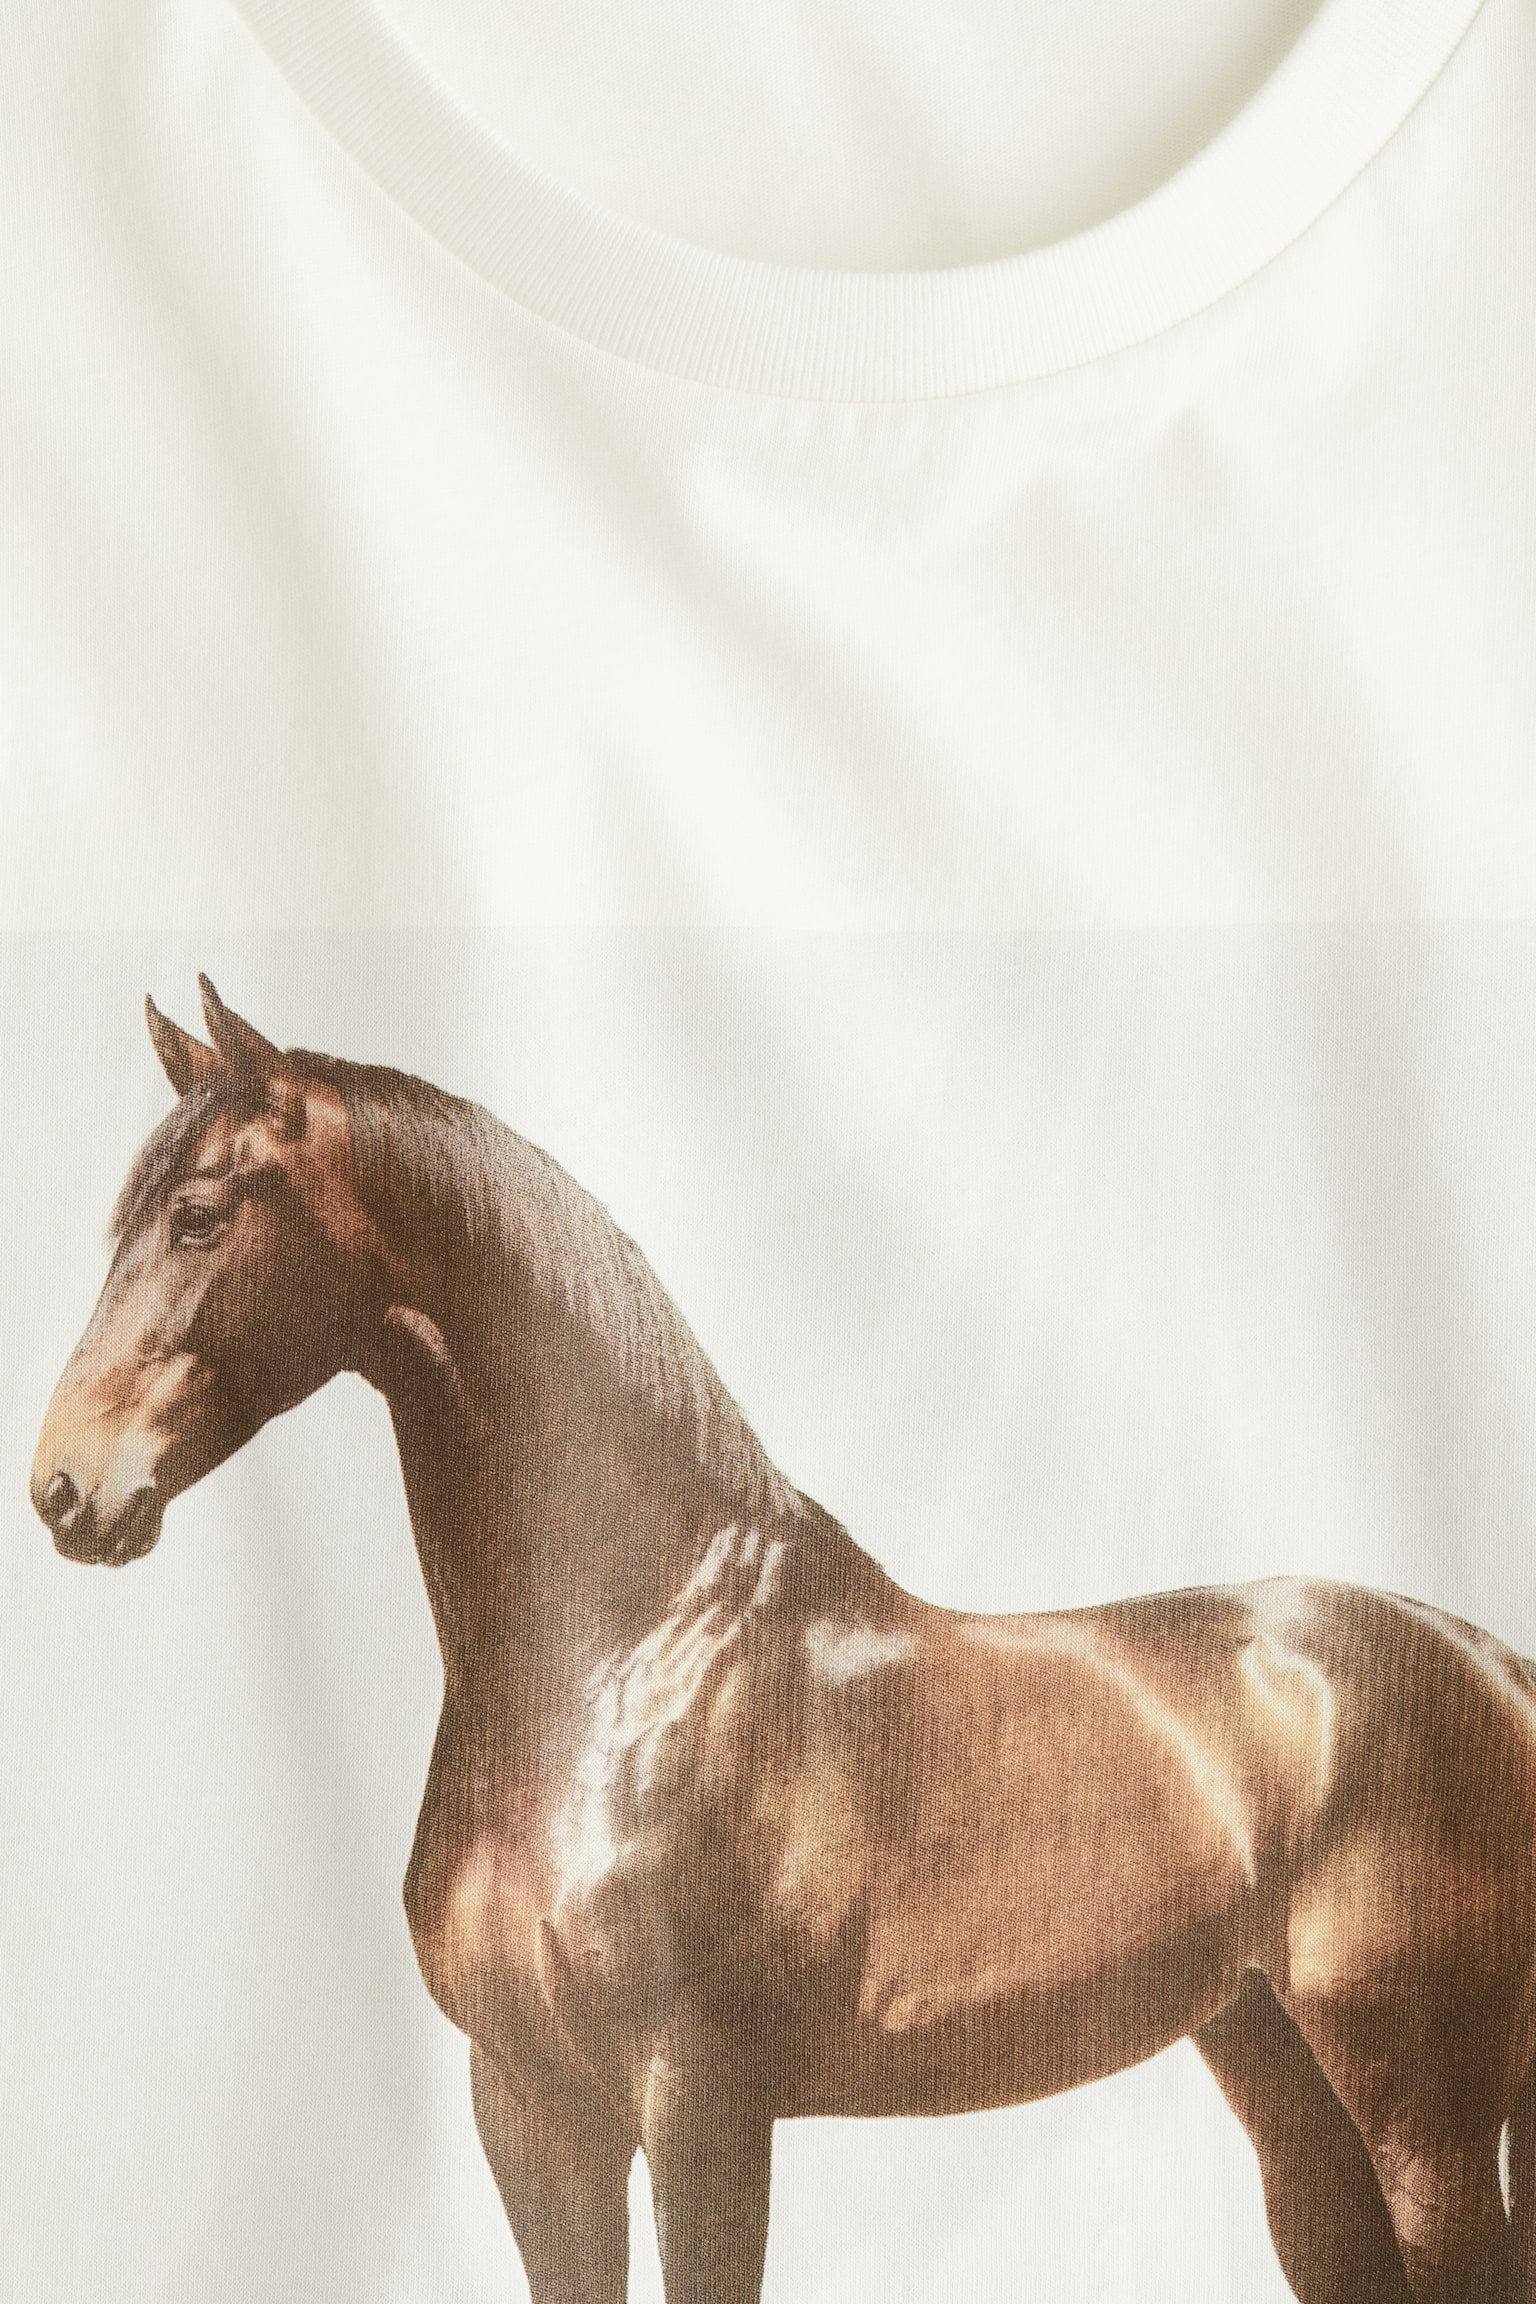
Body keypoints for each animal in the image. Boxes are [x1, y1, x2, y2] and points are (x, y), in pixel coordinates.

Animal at [28, 979, 1536, 2304]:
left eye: (196, 1215)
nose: (63, 1490)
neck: (622, 1666)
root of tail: (1487, 1662)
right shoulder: (529, 2106)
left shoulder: (699, 2100)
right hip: (1286, 2089)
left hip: (1423, 2116)